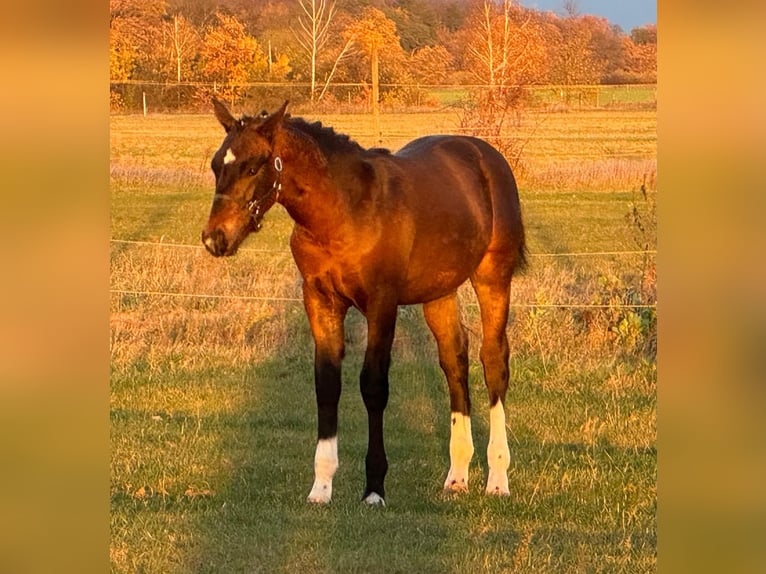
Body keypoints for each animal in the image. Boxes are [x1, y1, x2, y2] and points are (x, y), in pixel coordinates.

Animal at [204, 101, 528, 506]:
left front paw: (374, 487)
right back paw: (457, 476)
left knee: (494, 361)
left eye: (253, 166)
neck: (346, 211)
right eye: (216, 164)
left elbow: (374, 386)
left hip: (492, 278)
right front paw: (321, 486)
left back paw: (497, 478)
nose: (215, 238)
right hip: (439, 293)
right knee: (455, 360)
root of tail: (486, 156)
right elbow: (327, 384)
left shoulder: (381, 303)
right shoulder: (320, 300)